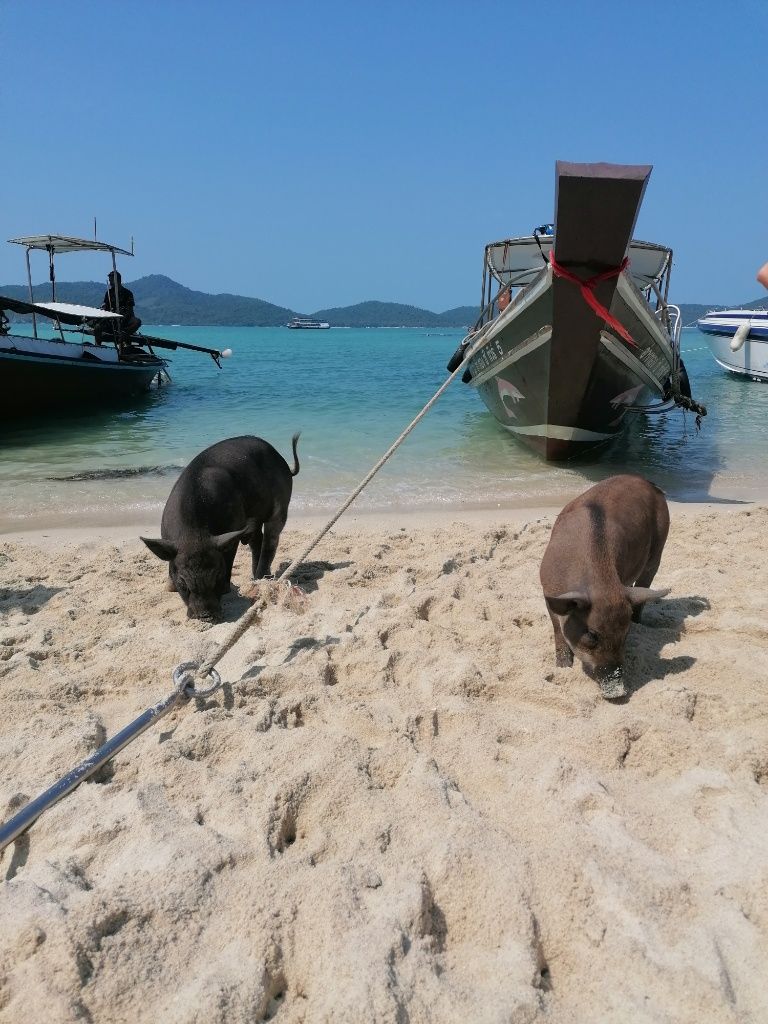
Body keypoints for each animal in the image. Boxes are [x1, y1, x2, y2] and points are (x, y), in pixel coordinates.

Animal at [536, 475, 671, 700]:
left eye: (625, 634)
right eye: (592, 634)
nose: (618, 693)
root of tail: (647, 482)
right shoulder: (547, 590)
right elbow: (557, 628)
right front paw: (563, 666)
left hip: (659, 549)